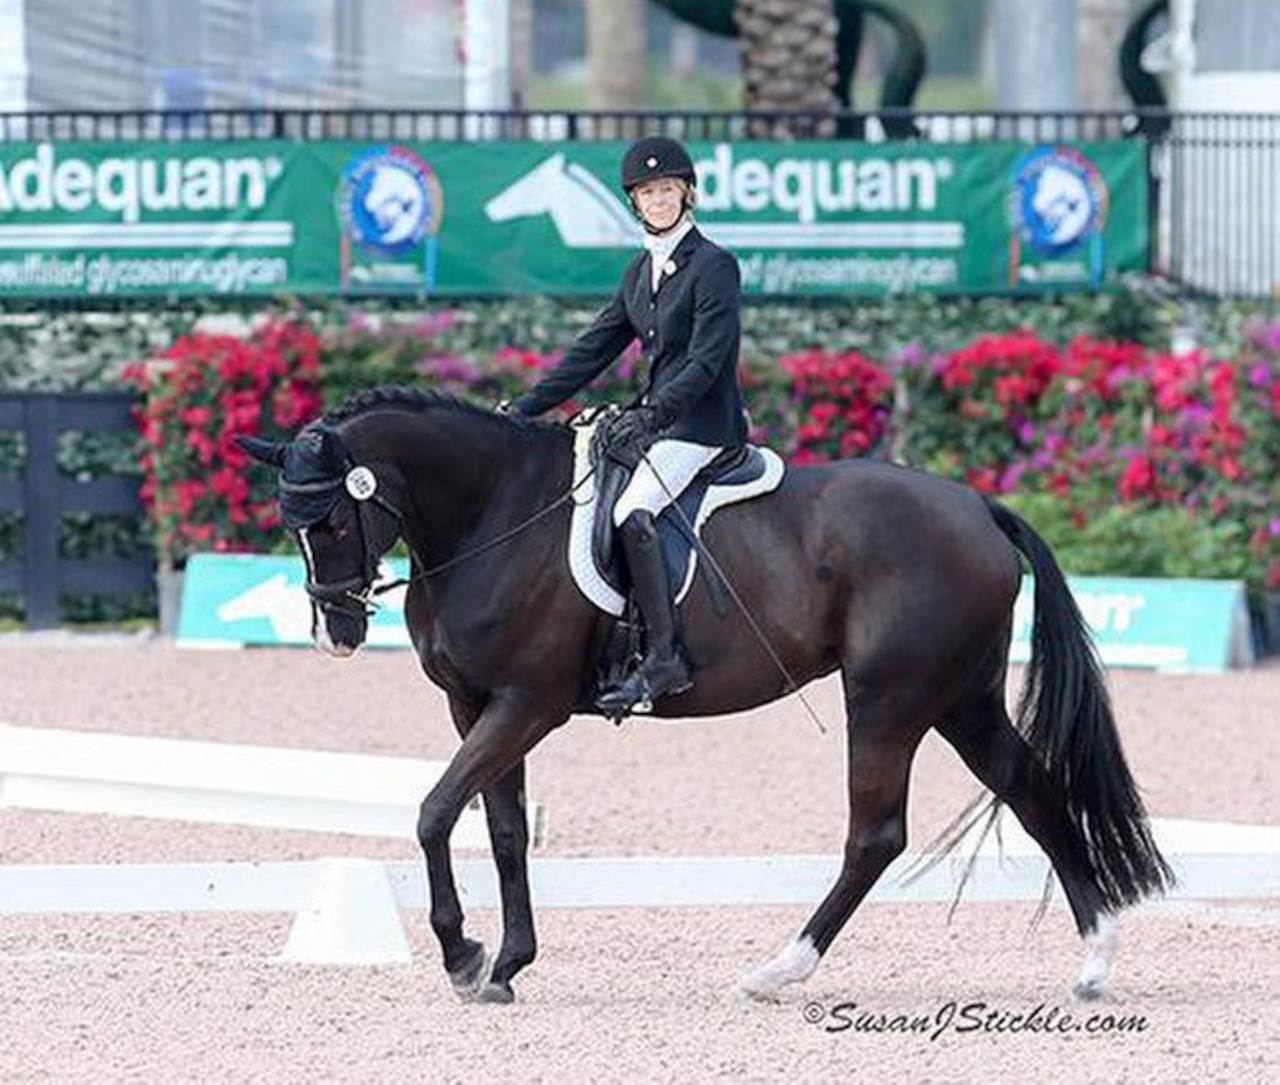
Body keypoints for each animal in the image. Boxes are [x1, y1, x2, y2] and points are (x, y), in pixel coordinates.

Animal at [240, 386, 1172, 1003]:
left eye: (333, 518)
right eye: (292, 523)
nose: (336, 632)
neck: (491, 515)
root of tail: (979, 506)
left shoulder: (527, 703)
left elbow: (435, 811)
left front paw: (464, 955)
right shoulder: (475, 704)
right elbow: (501, 830)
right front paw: (505, 964)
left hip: (888, 699)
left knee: (876, 833)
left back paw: (778, 969)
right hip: (960, 699)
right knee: (1031, 788)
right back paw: (1095, 961)